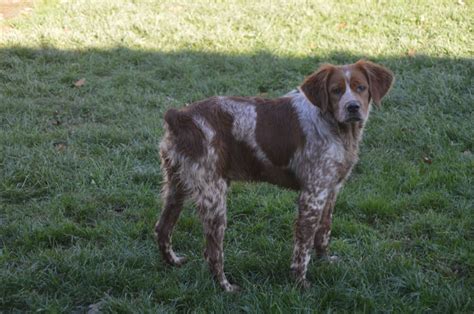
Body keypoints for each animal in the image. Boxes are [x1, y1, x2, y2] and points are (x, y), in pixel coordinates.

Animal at [155, 59, 392, 292]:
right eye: (336, 90)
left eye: (361, 87)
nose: (353, 107)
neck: (337, 129)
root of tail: (179, 116)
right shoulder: (312, 195)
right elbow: (303, 246)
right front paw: (300, 283)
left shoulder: (331, 189)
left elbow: (324, 231)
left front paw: (325, 261)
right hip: (214, 196)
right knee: (212, 253)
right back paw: (226, 287)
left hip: (177, 187)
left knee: (162, 228)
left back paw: (173, 262)